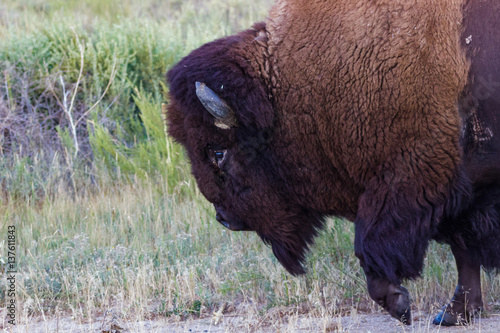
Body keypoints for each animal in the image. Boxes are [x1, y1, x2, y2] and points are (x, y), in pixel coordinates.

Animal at [166, 0, 498, 326]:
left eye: (218, 152)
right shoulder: (462, 190)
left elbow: (371, 244)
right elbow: (463, 248)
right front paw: (453, 313)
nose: (223, 218)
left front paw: (399, 304)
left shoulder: (412, 179)